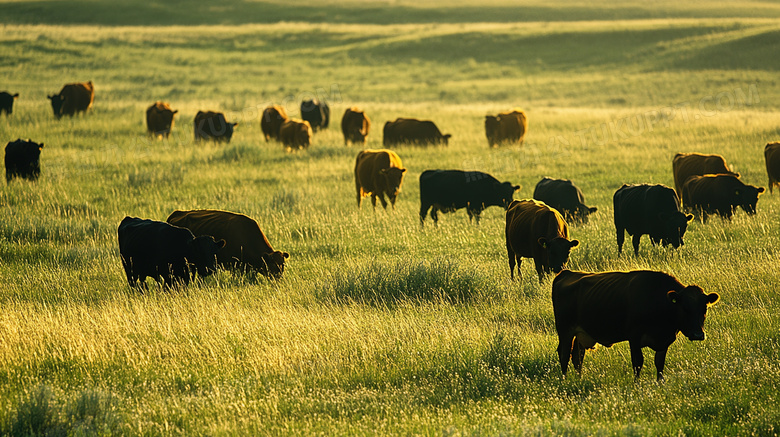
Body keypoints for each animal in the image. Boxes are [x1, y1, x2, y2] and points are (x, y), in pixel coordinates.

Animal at [552, 268, 724, 380]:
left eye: (704, 308)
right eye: (685, 308)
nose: (698, 334)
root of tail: (566, 273)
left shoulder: (664, 341)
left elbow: (659, 364)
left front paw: (660, 383)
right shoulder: (634, 337)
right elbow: (638, 363)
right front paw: (637, 385)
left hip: (581, 334)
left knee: (577, 356)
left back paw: (579, 379)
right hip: (565, 331)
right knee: (564, 353)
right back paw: (565, 380)